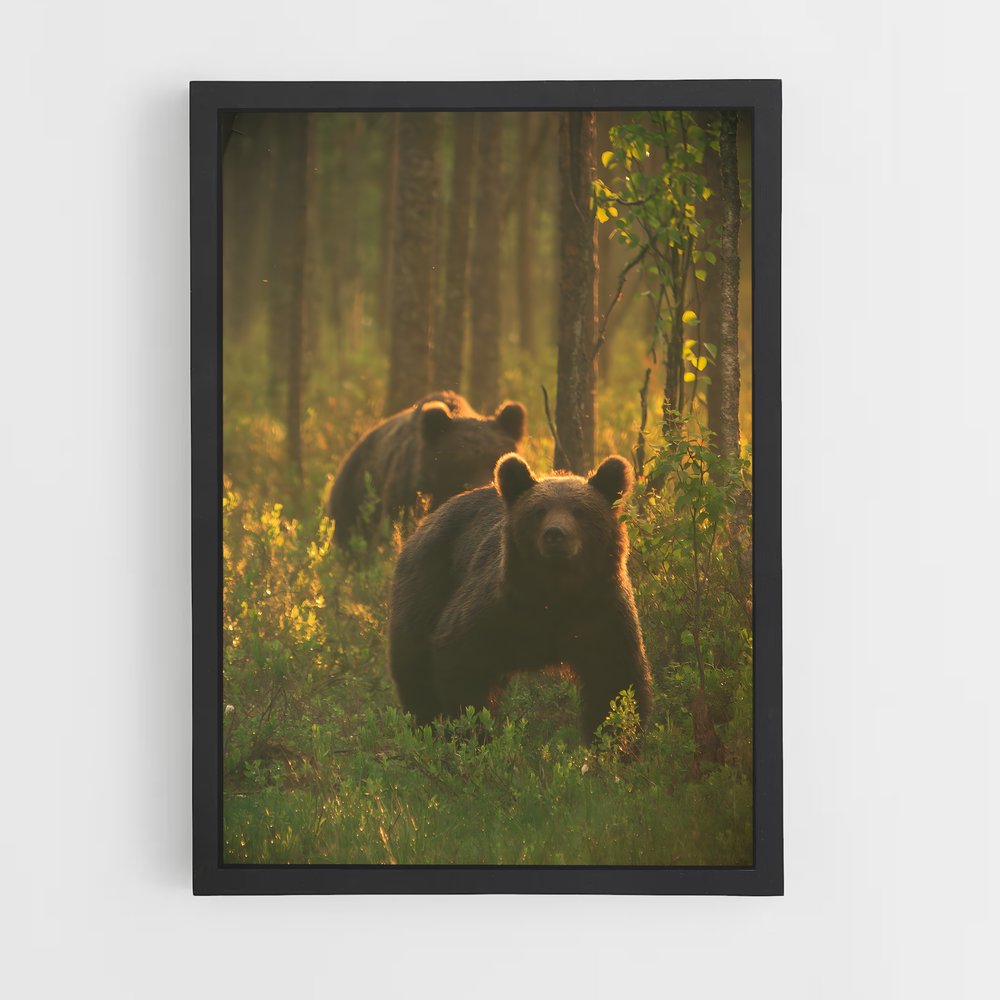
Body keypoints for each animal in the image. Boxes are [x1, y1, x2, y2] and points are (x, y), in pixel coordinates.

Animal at [388, 452, 652, 737]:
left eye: (579, 511)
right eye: (539, 511)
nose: (555, 534)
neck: (556, 593)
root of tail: (423, 523)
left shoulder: (600, 613)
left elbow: (615, 681)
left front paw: (615, 738)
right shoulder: (498, 610)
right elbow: (461, 661)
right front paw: (473, 731)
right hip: (427, 584)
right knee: (413, 667)